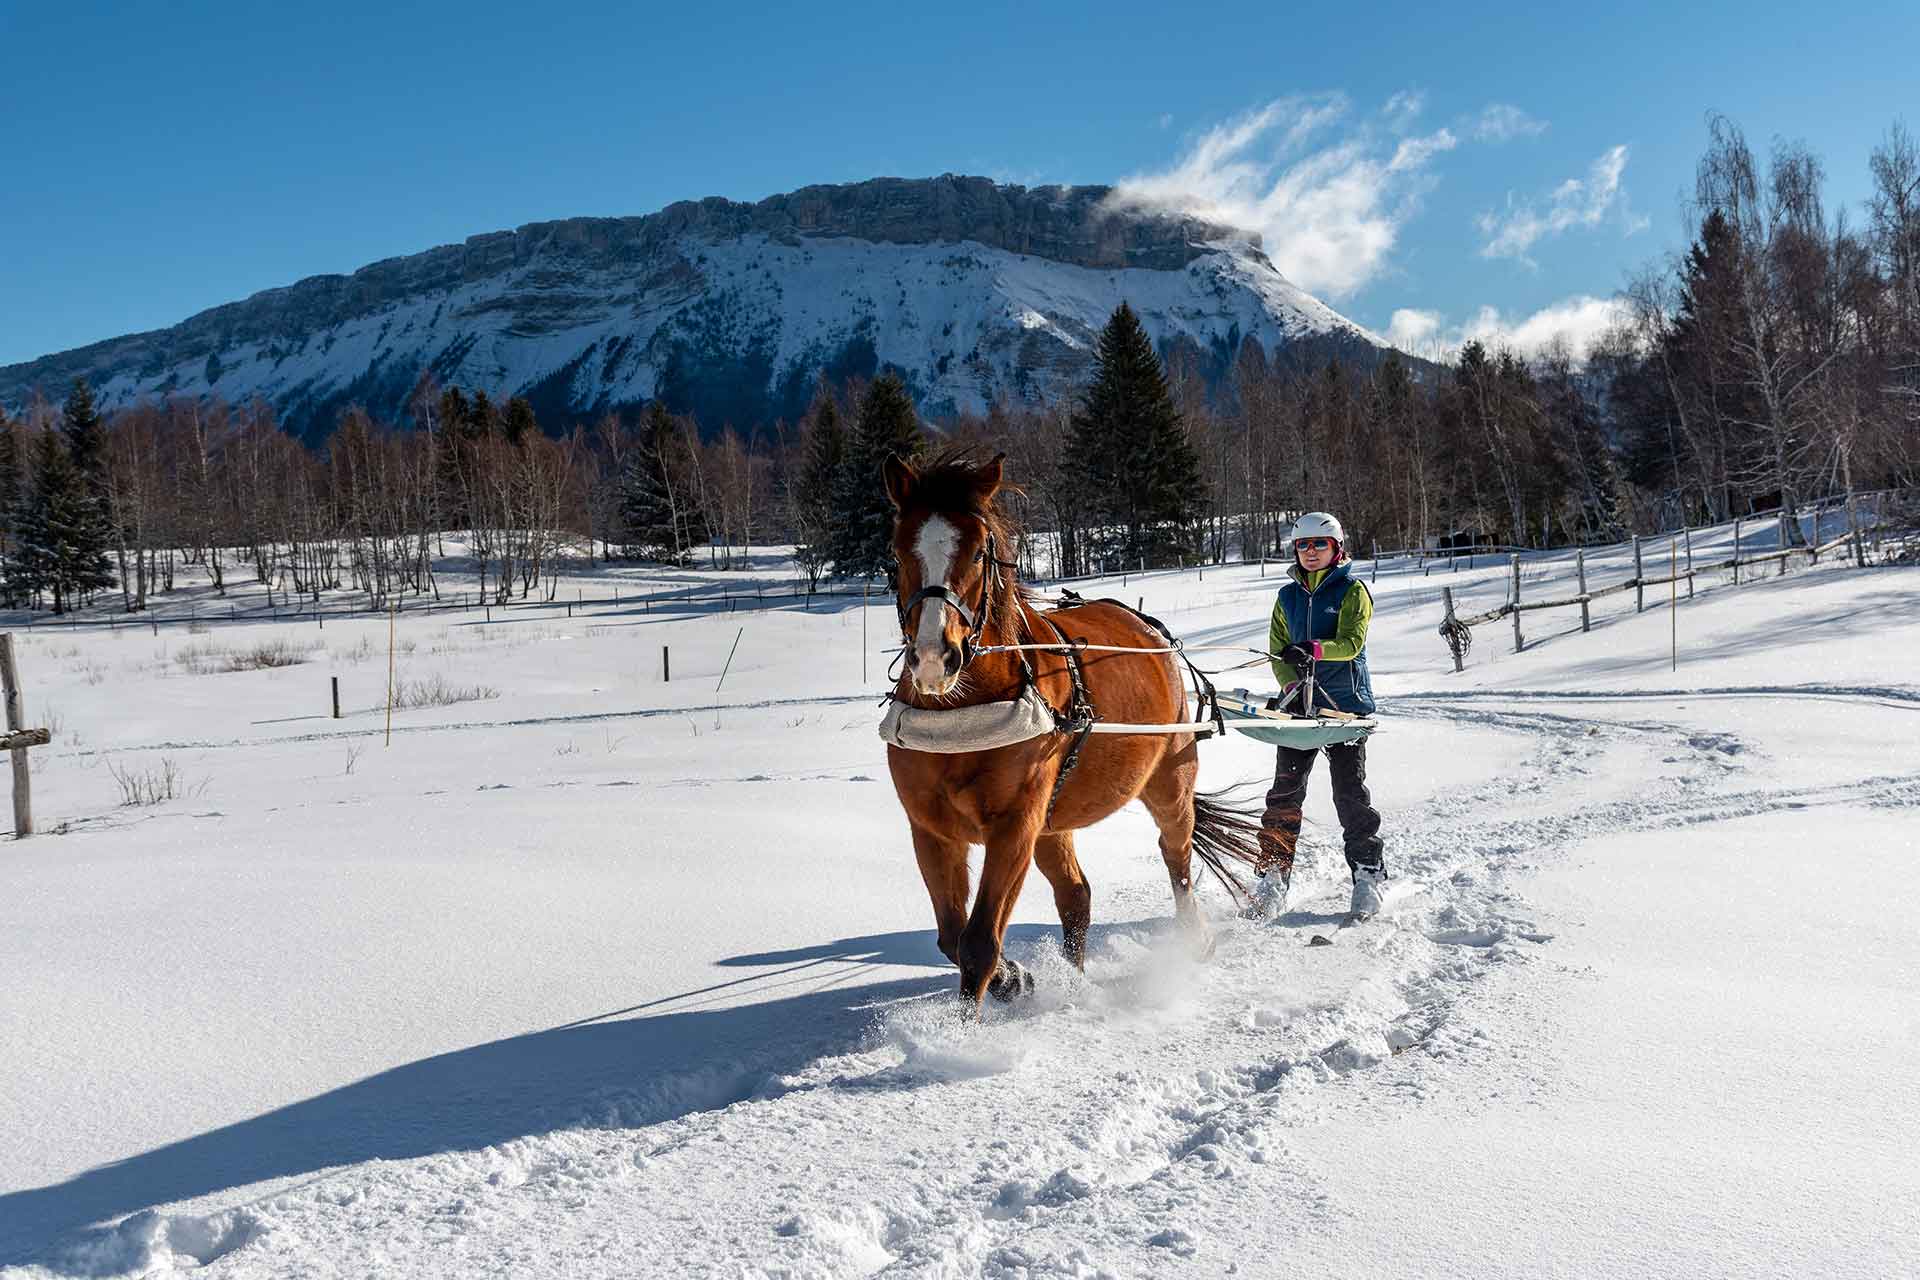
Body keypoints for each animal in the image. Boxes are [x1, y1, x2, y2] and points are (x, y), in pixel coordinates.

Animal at [879, 450, 1267, 1013]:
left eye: (977, 553)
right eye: (897, 549)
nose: (934, 658)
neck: (965, 710)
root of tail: (1151, 631)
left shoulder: (1015, 825)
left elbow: (978, 942)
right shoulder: (931, 830)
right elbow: (952, 937)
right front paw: (1015, 979)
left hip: (1170, 779)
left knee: (1176, 854)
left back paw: (1193, 937)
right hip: (1053, 823)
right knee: (1076, 895)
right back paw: (1071, 979)